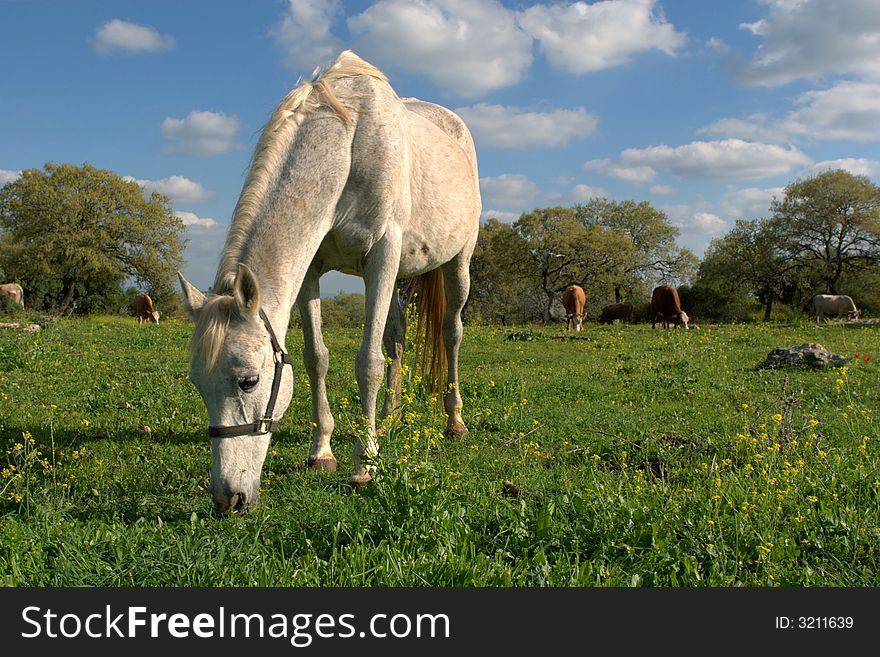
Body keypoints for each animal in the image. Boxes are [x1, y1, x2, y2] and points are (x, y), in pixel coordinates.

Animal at [178, 51, 482, 512]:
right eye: (197, 383)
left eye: (249, 381)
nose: (229, 498)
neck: (349, 145)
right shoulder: (313, 270)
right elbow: (316, 358)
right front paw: (322, 450)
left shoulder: (382, 257)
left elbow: (368, 362)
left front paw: (365, 464)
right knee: (396, 337)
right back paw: (388, 418)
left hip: (456, 265)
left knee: (451, 333)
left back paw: (454, 420)